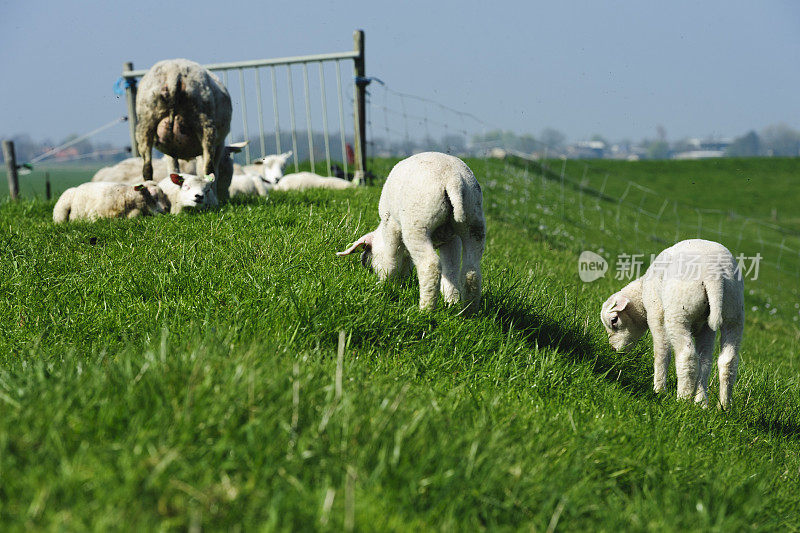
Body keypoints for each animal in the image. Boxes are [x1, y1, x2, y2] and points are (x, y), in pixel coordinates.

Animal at [134, 57, 233, 201]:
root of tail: (174, 72)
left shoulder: (170, 151)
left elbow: (173, 169)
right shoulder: (219, 145)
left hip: (146, 122)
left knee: (147, 168)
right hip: (205, 121)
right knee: (209, 168)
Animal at [604, 239, 748, 410]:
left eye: (614, 321)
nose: (614, 350)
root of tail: (715, 276)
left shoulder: (656, 314)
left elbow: (662, 352)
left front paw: (659, 390)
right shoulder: (706, 329)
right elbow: (705, 362)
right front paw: (701, 402)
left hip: (678, 312)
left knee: (687, 356)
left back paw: (682, 400)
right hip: (734, 311)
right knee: (728, 360)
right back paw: (724, 407)